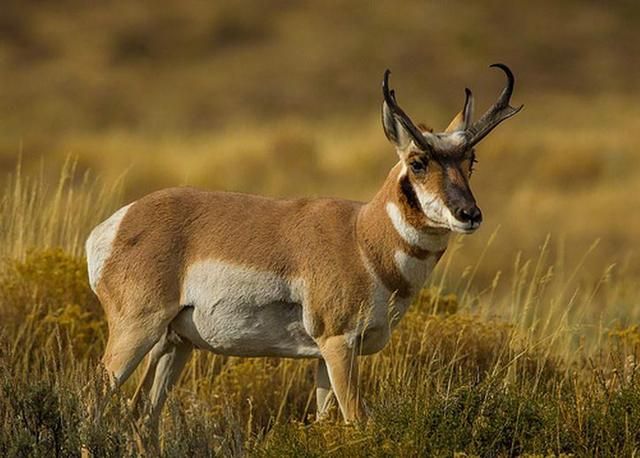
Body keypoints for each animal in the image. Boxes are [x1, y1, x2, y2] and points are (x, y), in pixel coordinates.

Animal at [87, 63, 524, 426]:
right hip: (136, 330)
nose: (469, 214)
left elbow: (325, 421)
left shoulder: (322, 358)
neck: (361, 238)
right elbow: (356, 420)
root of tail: (118, 222)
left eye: (470, 161)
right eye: (418, 162)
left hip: (174, 344)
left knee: (142, 416)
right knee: (96, 403)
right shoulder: (338, 344)